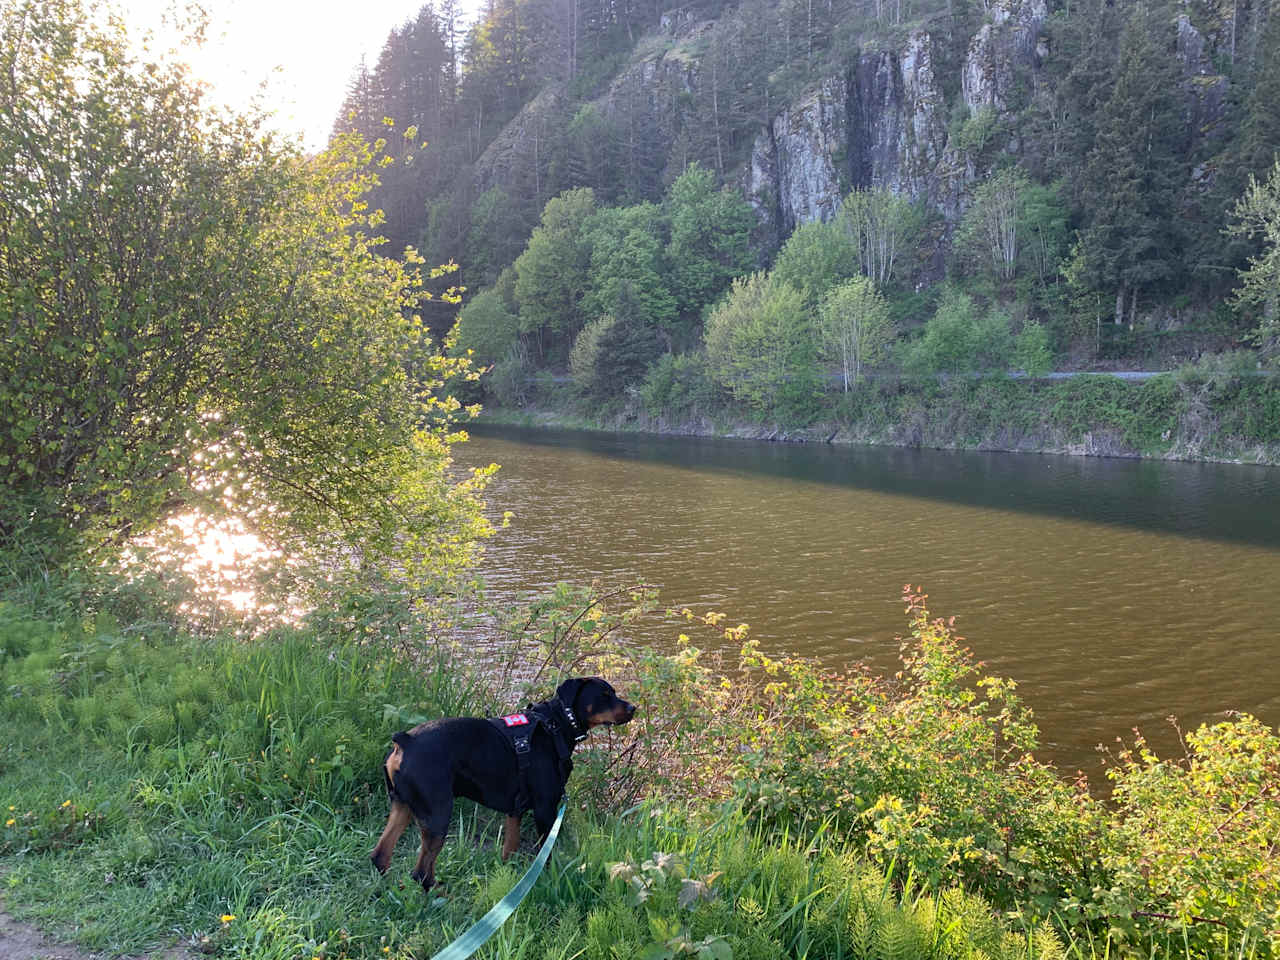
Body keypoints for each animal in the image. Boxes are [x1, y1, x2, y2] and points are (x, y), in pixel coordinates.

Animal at [371, 675, 634, 896]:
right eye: (604, 695)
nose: (633, 708)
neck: (556, 724)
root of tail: (405, 741)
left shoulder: (515, 810)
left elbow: (510, 849)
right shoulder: (545, 809)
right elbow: (545, 855)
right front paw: (547, 880)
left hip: (403, 806)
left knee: (380, 856)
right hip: (437, 814)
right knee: (421, 872)